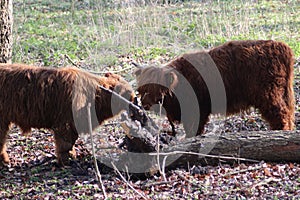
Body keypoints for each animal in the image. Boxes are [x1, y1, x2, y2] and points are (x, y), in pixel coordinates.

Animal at [136, 39, 296, 137]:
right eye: (142, 90)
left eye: (156, 89)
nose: (144, 104)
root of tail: (281, 46)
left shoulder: (196, 110)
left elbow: (194, 129)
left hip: (269, 94)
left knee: (280, 114)